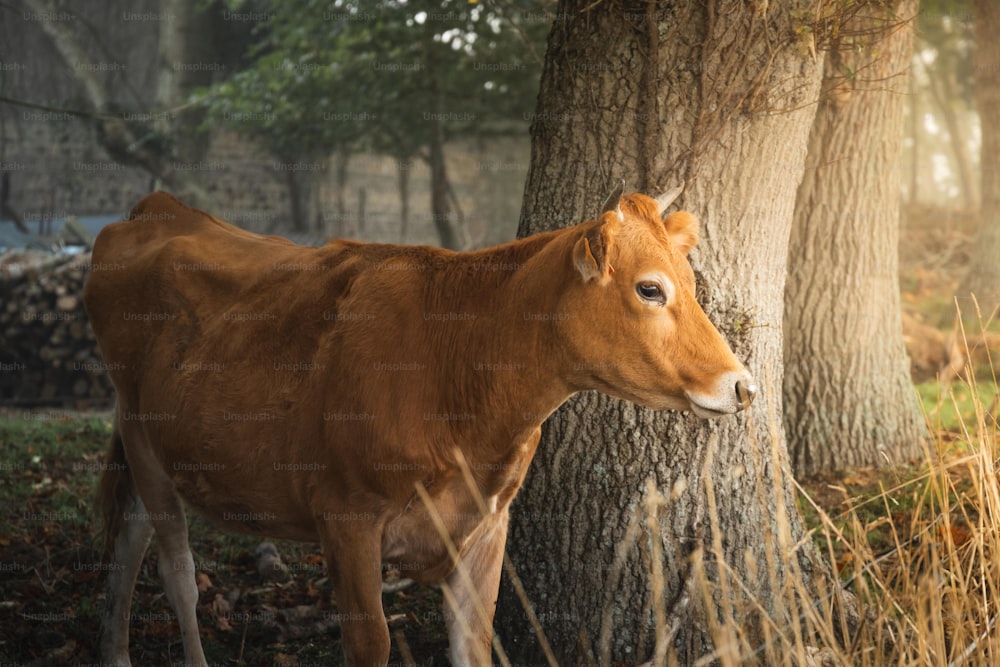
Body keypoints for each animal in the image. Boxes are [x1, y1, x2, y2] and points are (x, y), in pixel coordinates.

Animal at [86, 188, 752, 667]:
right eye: (650, 289)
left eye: (692, 285)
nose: (743, 385)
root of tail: (161, 207)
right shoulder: (347, 518)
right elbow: (371, 644)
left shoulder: (485, 524)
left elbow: (474, 644)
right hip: (143, 435)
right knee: (176, 573)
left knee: (129, 542)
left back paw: (114, 655)